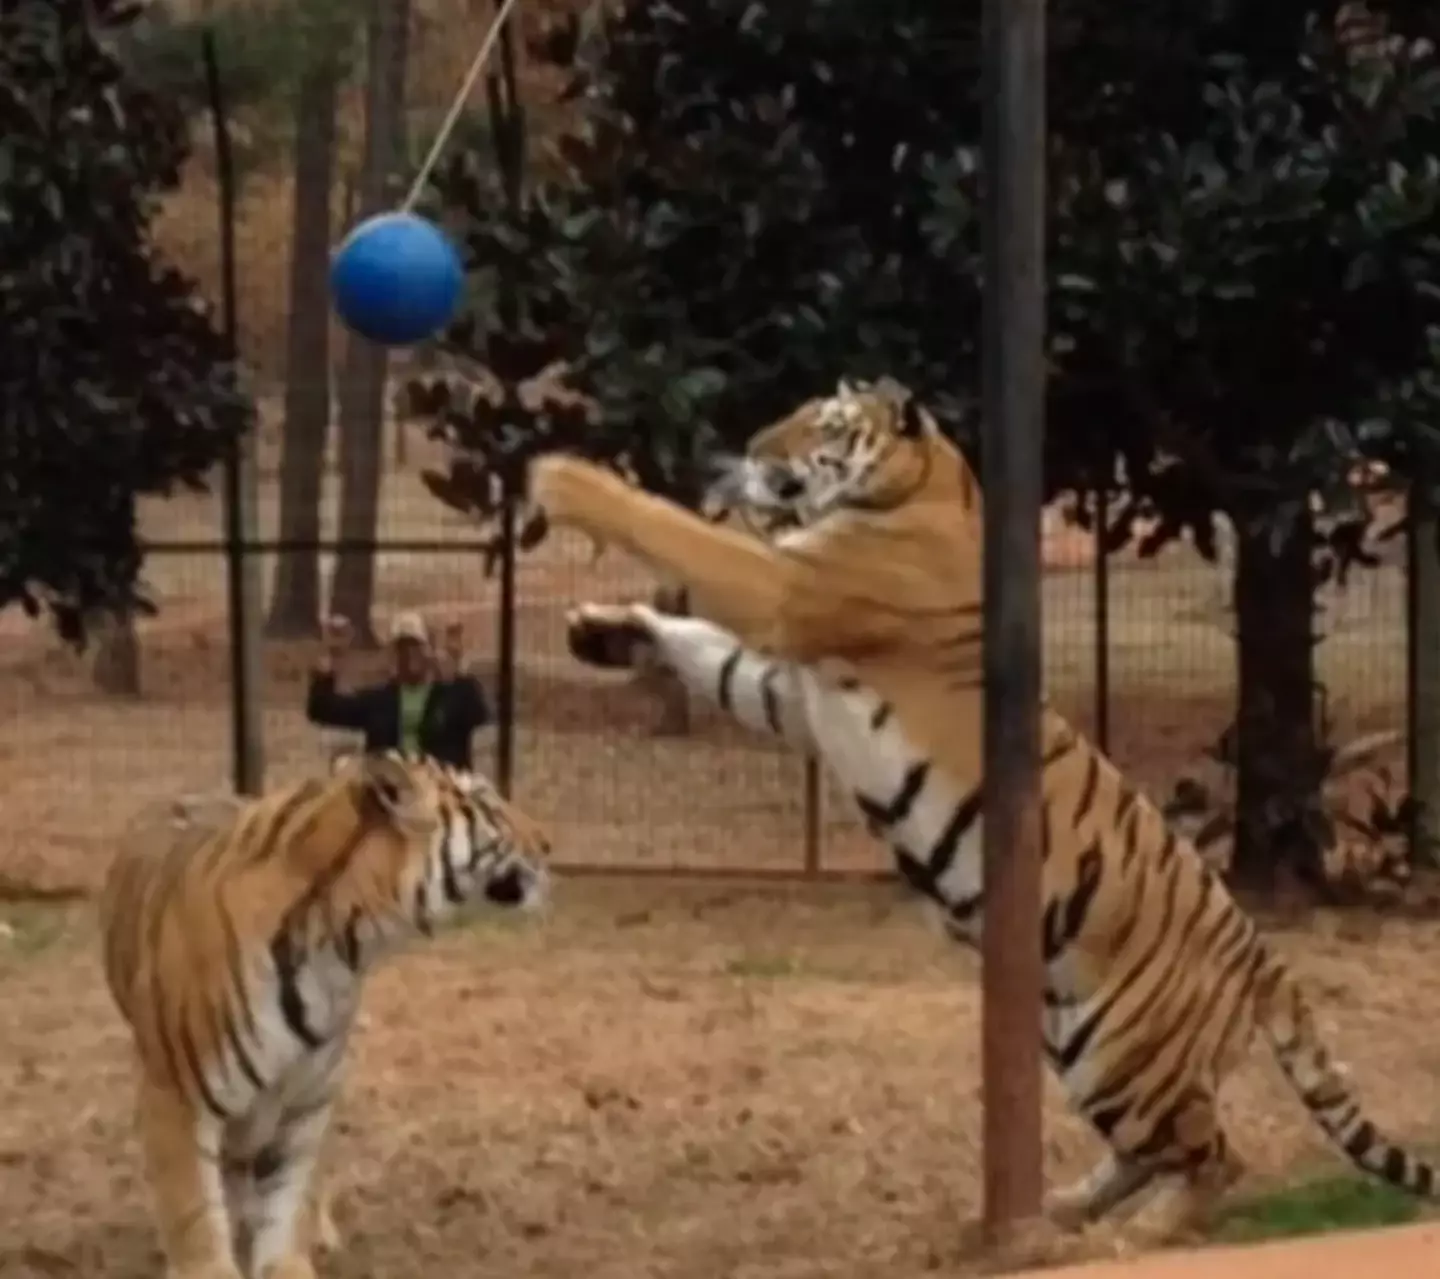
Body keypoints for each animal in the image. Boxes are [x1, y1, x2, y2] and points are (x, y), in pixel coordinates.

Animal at [99, 751, 551, 1279]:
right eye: (487, 803)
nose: (547, 842)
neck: (340, 948)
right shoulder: (175, 1096)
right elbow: (193, 1210)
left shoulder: (307, 1100)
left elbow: (287, 1201)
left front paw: (287, 1256)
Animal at [527, 376, 1440, 1243]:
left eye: (823, 423)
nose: (746, 449)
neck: (922, 488)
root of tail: (1265, 960)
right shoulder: (790, 689)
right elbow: (706, 653)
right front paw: (605, 627)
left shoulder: (792, 591)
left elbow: (684, 534)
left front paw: (564, 477)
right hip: (1078, 1042)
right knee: (1158, 1151)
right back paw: (1068, 1207)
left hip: (1126, 1052)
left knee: (1217, 1156)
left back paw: (1132, 1234)